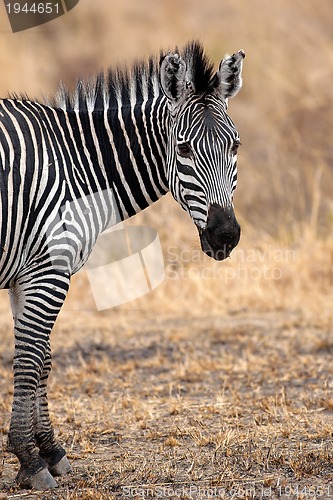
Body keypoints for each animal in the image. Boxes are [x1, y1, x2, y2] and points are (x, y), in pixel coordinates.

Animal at [0, 43, 244, 488]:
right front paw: (29, 460)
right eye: (183, 149)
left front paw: (50, 450)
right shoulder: (49, 269)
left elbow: (42, 358)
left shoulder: (27, 275)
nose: (224, 235)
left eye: (235, 146)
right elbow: (30, 361)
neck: (78, 164)